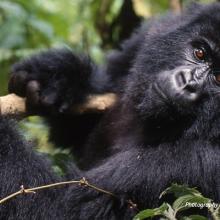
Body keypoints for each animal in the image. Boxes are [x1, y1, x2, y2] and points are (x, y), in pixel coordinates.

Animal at [0, 2, 220, 220]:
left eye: (218, 79)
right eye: (200, 53)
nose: (187, 83)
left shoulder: (199, 162)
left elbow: (63, 208)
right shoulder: (145, 38)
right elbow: (77, 133)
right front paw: (59, 76)